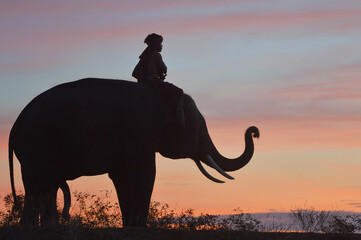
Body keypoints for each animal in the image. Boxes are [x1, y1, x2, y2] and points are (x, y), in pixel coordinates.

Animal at [8, 79, 258, 227]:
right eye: (197, 130)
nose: (254, 131)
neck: (163, 97)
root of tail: (14, 127)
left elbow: (122, 177)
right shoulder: (139, 132)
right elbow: (143, 174)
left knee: (44, 191)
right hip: (37, 148)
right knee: (38, 189)